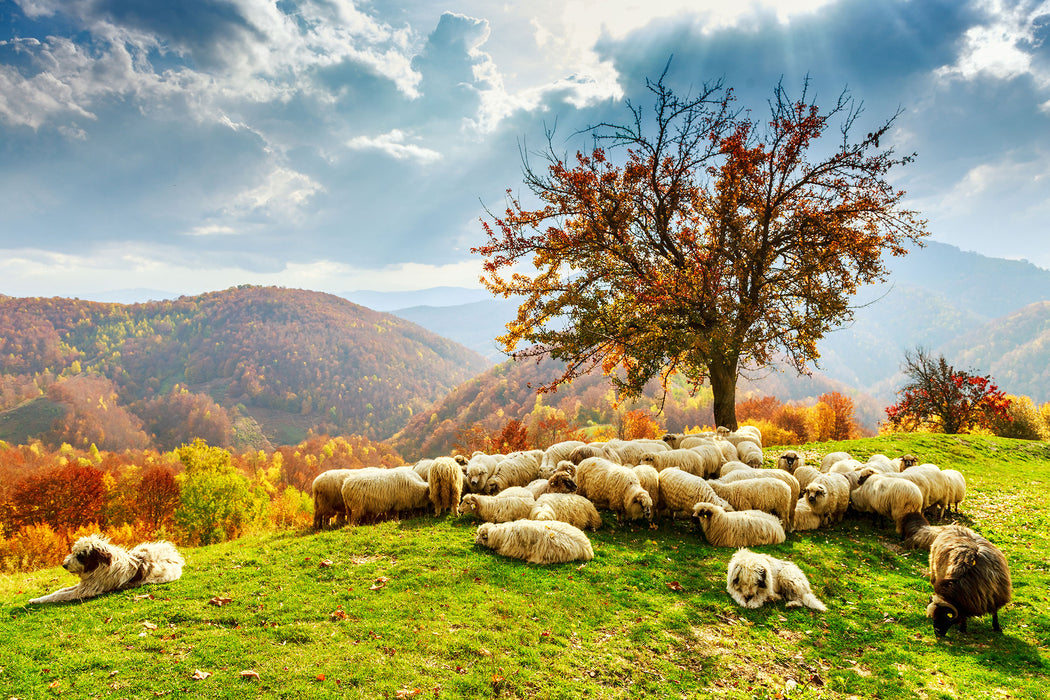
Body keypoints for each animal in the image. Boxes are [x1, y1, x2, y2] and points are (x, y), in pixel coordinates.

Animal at [28, 533, 184, 604]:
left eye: (80, 556)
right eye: (73, 552)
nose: (64, 565)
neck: (99, 565)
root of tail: (175, 556)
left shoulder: (84, 591)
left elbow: (59, 595)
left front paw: (36, 600)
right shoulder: (84, 585)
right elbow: (61, 590)